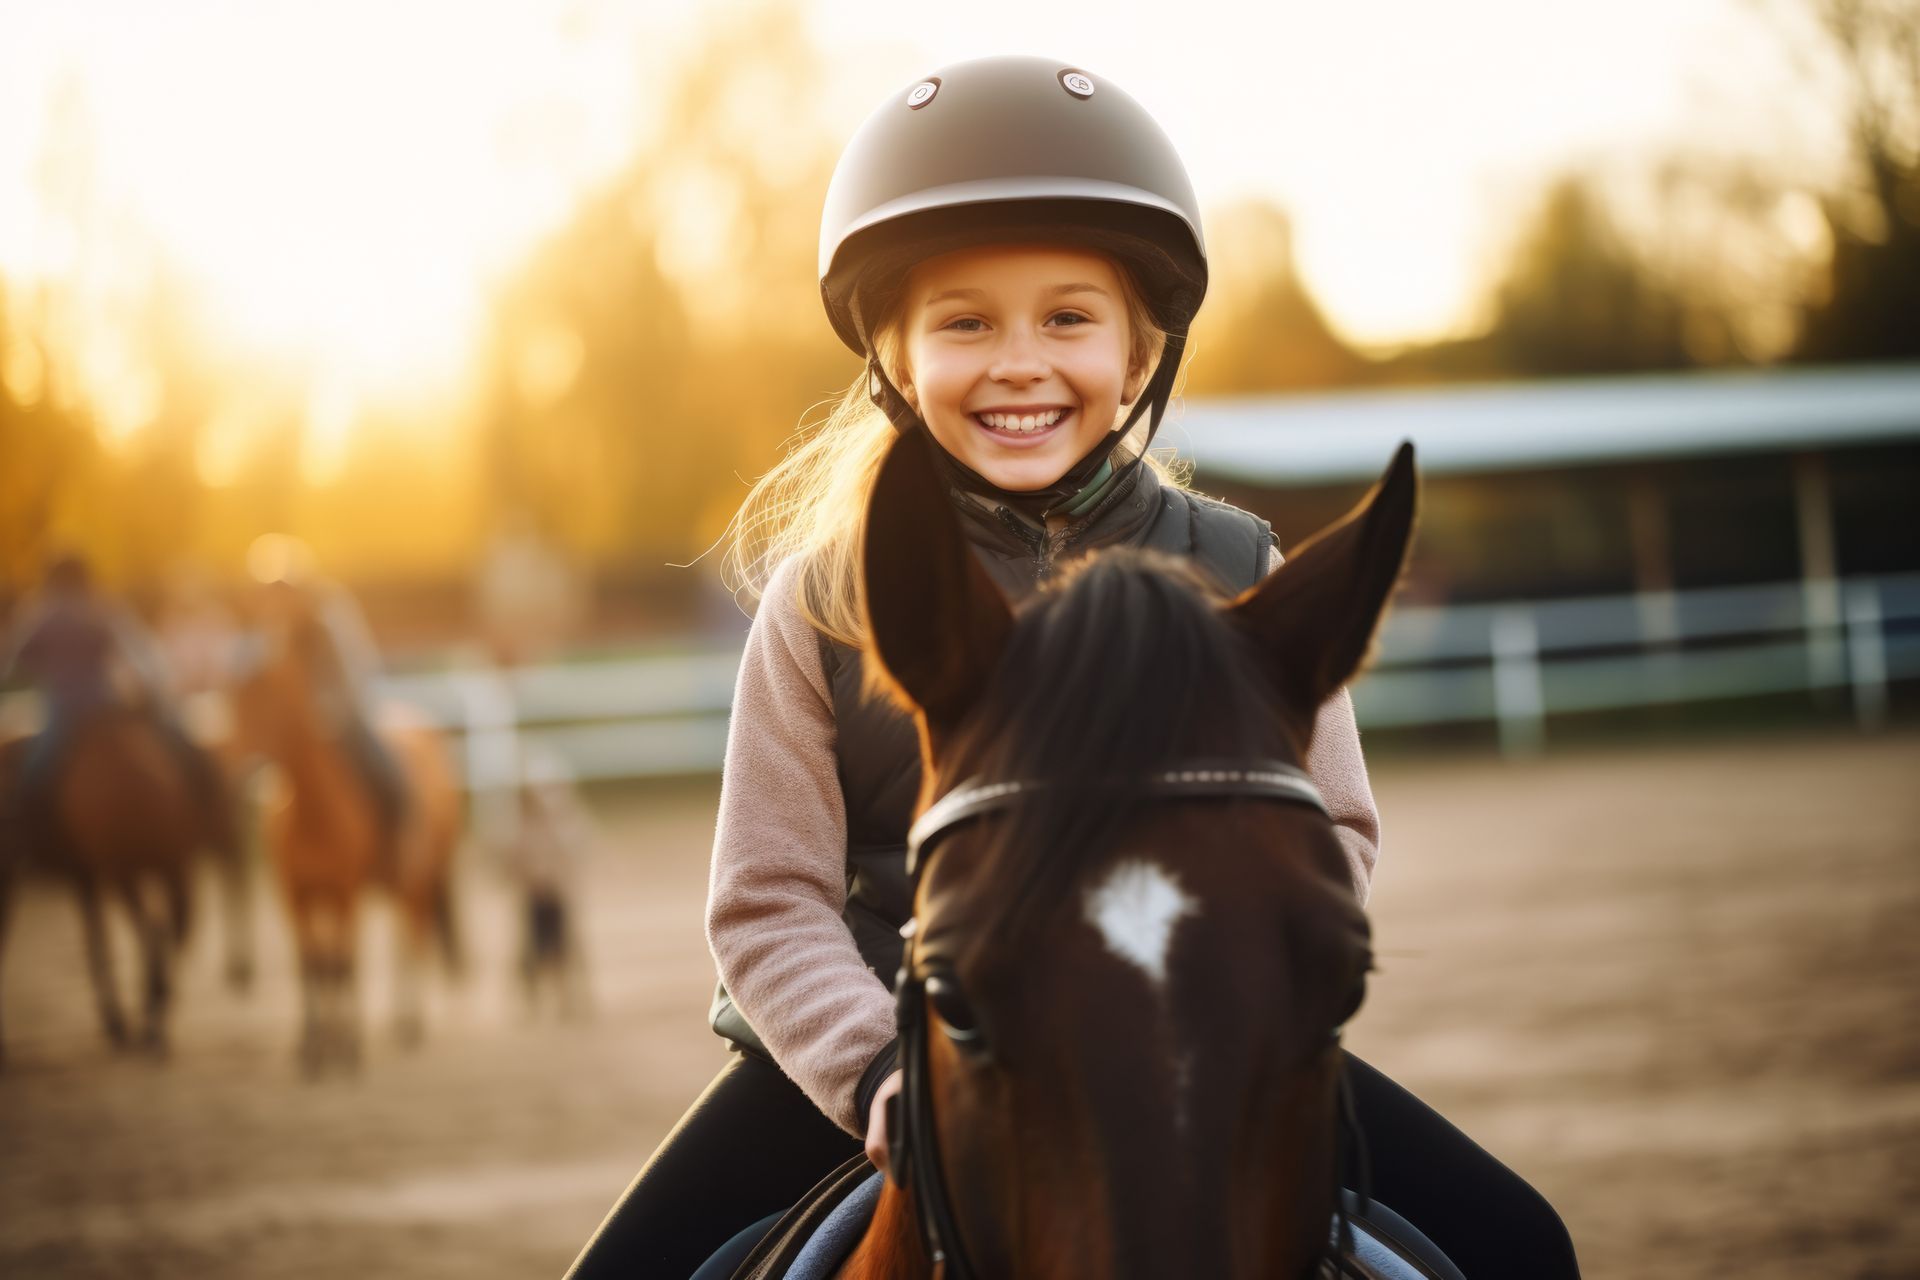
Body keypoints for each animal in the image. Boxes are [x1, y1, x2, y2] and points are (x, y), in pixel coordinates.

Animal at [230, 589, 463, 1074]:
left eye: (266, 698)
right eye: (233, 696)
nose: (238, 769)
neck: (314, 813)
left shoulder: (345, 895)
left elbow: (343, 966)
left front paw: (347, 1049)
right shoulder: (295, 897)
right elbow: (313, 968)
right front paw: (312, 1047)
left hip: (416, 883)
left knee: (415, 941)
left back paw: (410, 1022)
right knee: (400, 942)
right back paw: (396, 1021)